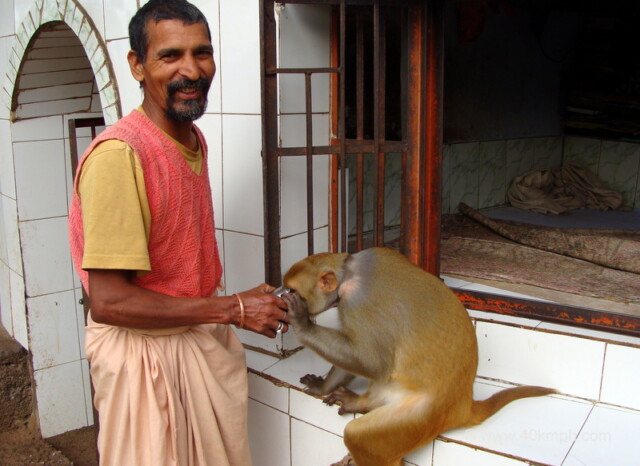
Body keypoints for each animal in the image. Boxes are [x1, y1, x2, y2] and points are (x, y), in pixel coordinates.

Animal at [281, 247, 555, 466]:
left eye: (292, 290)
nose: (281, 296)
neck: (349, 271)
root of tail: (463, 406)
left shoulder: (359, 300)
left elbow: (372, 362)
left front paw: (302, 324)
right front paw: (323, 386)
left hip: (419, 419)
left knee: (358, 436)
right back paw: (364, 403)